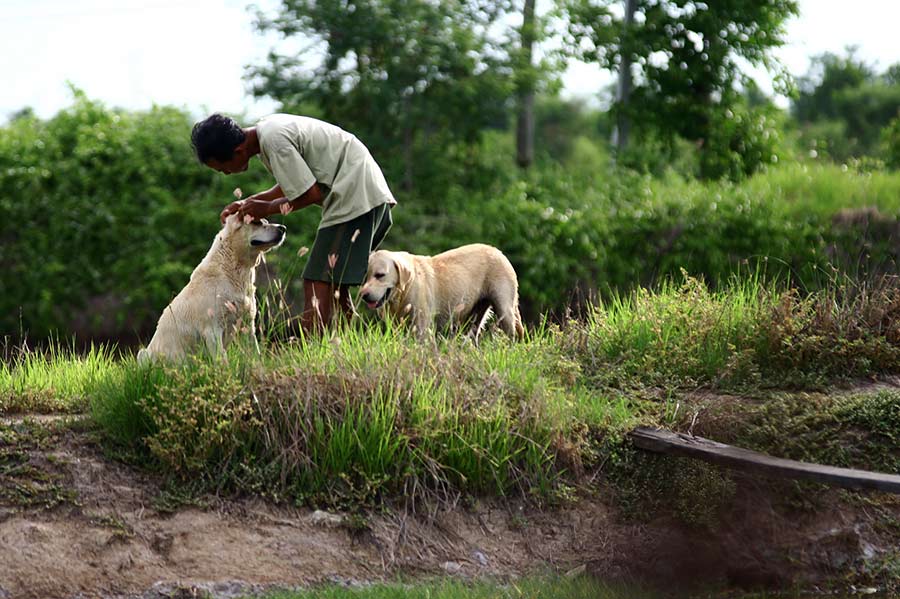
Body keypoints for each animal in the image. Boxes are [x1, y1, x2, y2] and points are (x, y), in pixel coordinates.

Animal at [136, 216, 284, 364]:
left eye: (266, 222)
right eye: (256, 223)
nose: (283, 228)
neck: (234, 272)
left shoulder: (247, 325)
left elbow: (255, 354)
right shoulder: (212, 329)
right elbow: (222, 360)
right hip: (143, 354)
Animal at [360, 243, 524, 338]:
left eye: (380, 275)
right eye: (365, 277)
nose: (363, 295)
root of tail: (499, 252)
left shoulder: (421, 327)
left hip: (504, 309)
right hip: (472, 318)